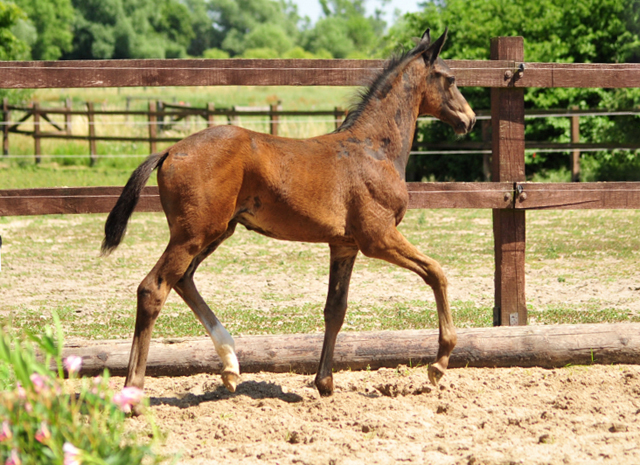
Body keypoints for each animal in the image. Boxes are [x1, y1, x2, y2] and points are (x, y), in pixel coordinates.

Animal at [104, 29, 476, 396]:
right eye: (451, 79)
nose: (469, 119)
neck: (374, 149)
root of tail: (169, 150)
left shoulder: (345, 245)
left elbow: (335, 309)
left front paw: (324, 382)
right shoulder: (378, 237)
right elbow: (436, 272)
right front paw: (439, 364)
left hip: (216, 231)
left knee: (183, 280)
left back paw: (231, 366)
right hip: (194, 234)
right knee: (153, 289)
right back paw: (135, 388)